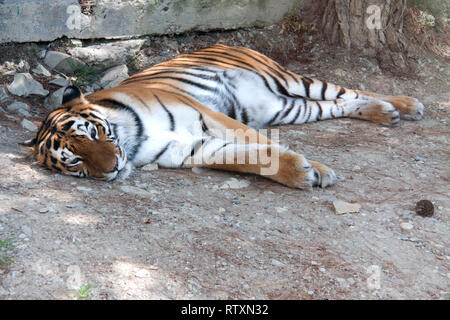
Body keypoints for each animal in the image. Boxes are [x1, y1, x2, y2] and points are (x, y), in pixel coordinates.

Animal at [19, 45, 424, 190]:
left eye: (91, 133)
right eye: (75, 162)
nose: (113, 167)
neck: (133, 143)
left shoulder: (210, 117)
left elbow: (259, 144)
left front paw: (319, 170)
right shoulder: (192, 149)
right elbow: (248, 161)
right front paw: (302, 174)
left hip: (292, 81)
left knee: (348, 91)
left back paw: (404, 105)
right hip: (289, 107)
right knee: (338, 105)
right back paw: (388, 114)